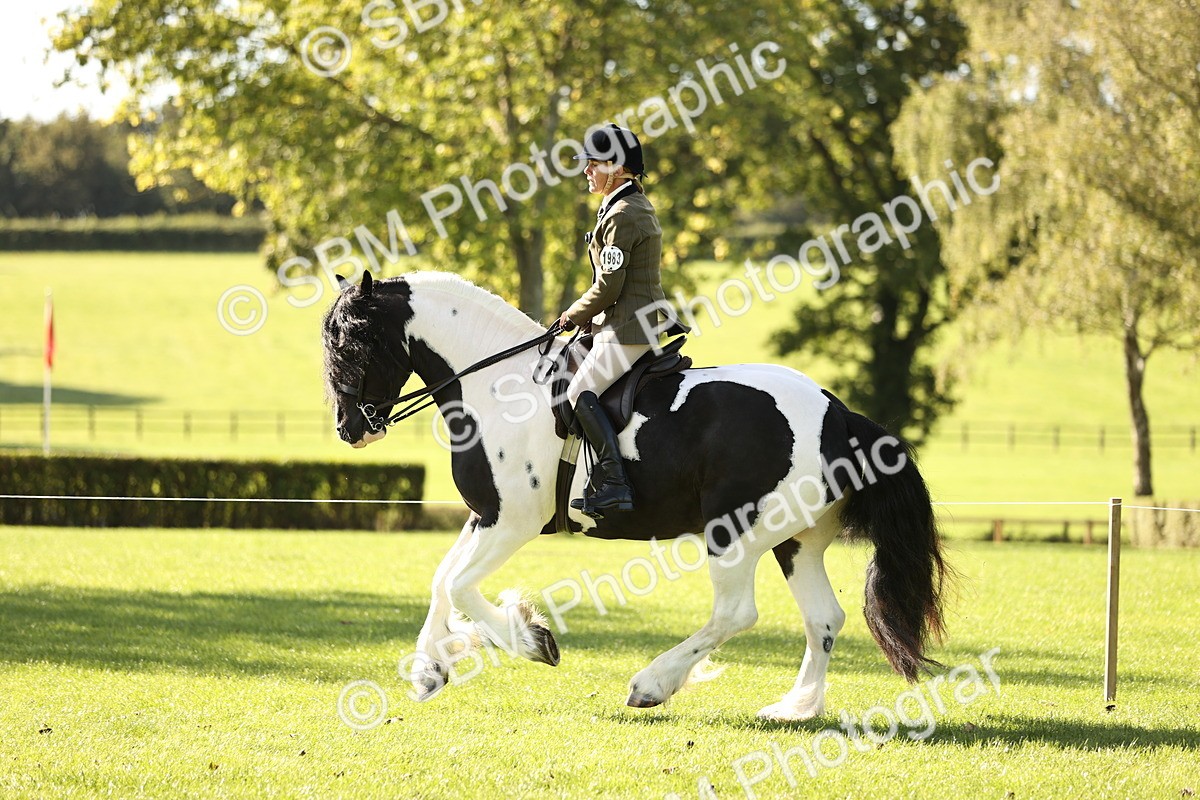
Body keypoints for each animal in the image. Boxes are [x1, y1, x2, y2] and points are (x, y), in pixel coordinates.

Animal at [321, 269, 948, 719]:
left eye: (352, 345)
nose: (351, 429)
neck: (499, 389)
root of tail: (837, 415)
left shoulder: (513, 521)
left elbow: (458, 584)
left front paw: (530, 640)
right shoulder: (486, 516)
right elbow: (441, 580)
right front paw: (431, 668)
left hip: (735, 531)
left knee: (737, 612)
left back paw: (652, 684)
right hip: (796, 540)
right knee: (824, 618)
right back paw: (794, 709)